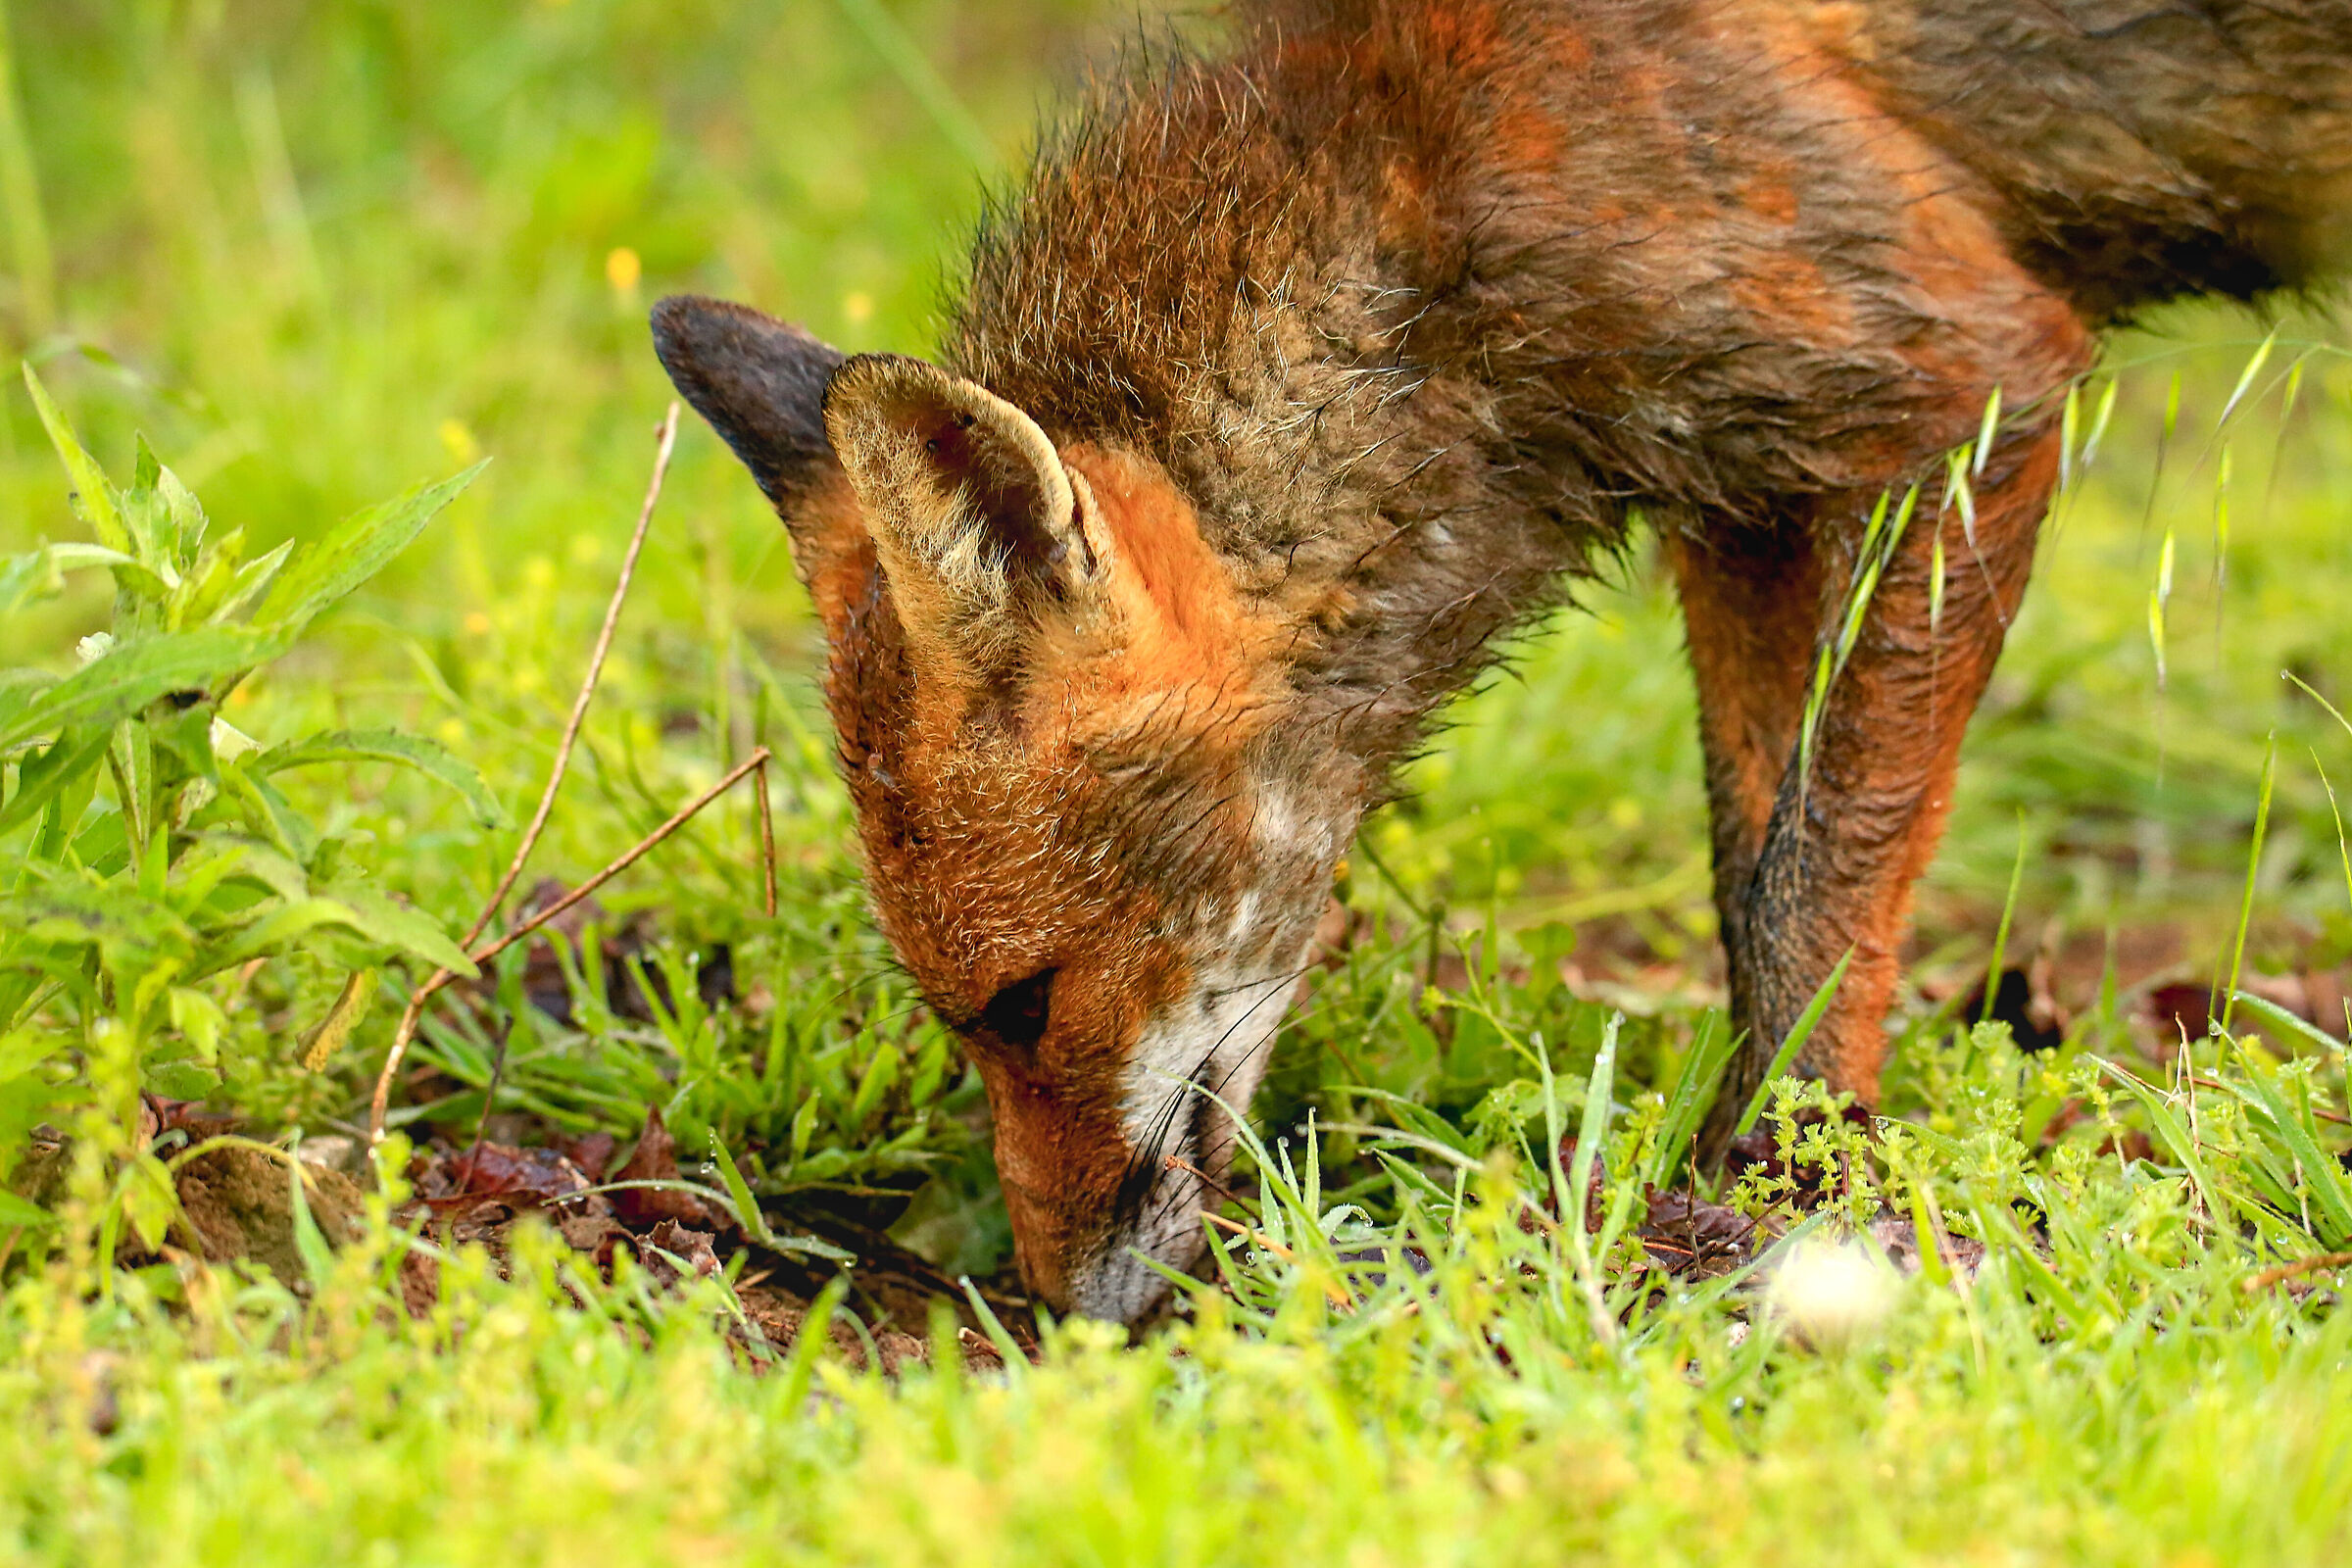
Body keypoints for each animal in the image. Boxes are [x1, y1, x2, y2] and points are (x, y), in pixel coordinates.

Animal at [651, 0, 2352, 1324]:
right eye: (974, 1022)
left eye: (1020, 1006)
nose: (1071, 1311)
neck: (1432, 208)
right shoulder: (1749, 506)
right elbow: (1752, 868)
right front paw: (1763, 1169)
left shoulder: (1966, 389)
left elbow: (1822, 882)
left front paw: (1786, 1182)